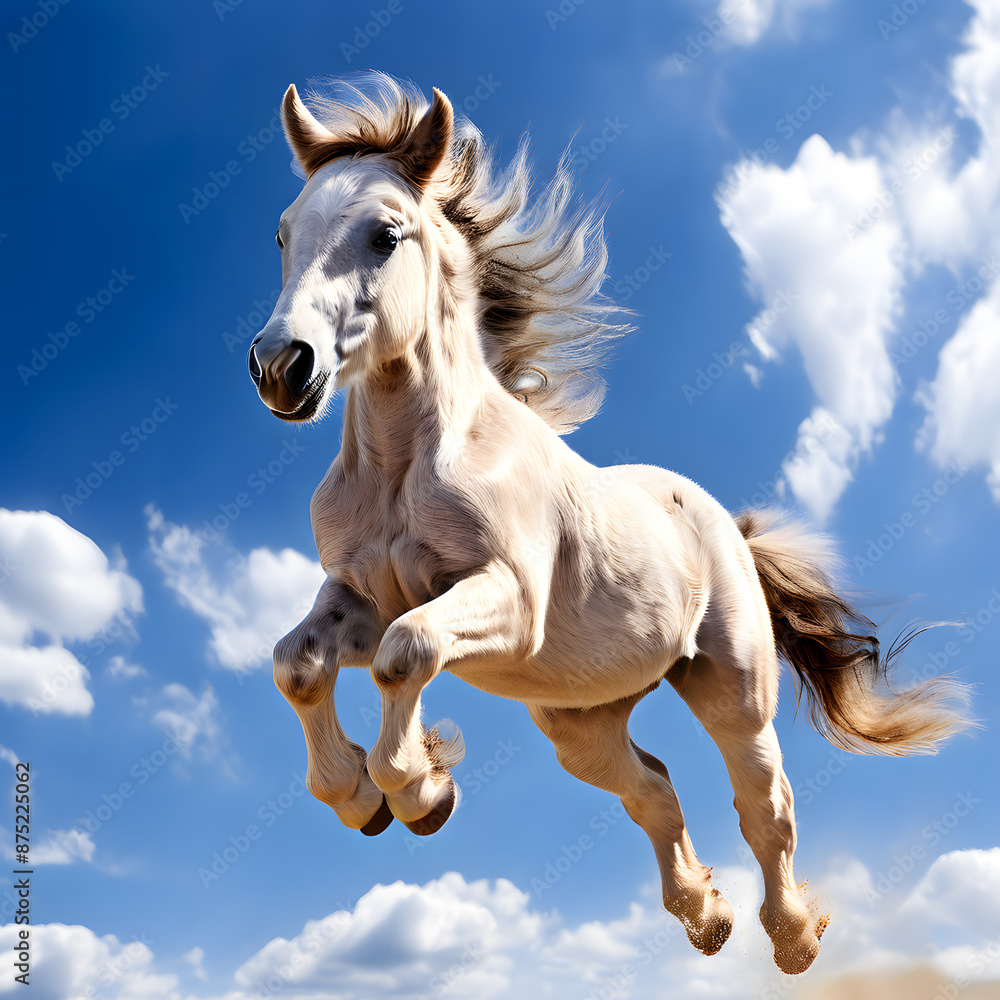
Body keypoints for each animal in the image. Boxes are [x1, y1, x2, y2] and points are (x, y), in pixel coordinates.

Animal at [246, 73, 970, 975]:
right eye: (284, 233)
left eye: (384, 235)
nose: (281, 367)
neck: (407, 470)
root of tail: (724, 522)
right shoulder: (359, 598)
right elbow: (298, 666)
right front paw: (361, 796)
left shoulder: (505, 601)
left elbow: (404, 653)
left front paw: (417, 790)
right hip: (578, 719)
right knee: (652, 788)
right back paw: (706, 918)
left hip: (731, 691)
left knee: (763, 803)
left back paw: (794, 938)